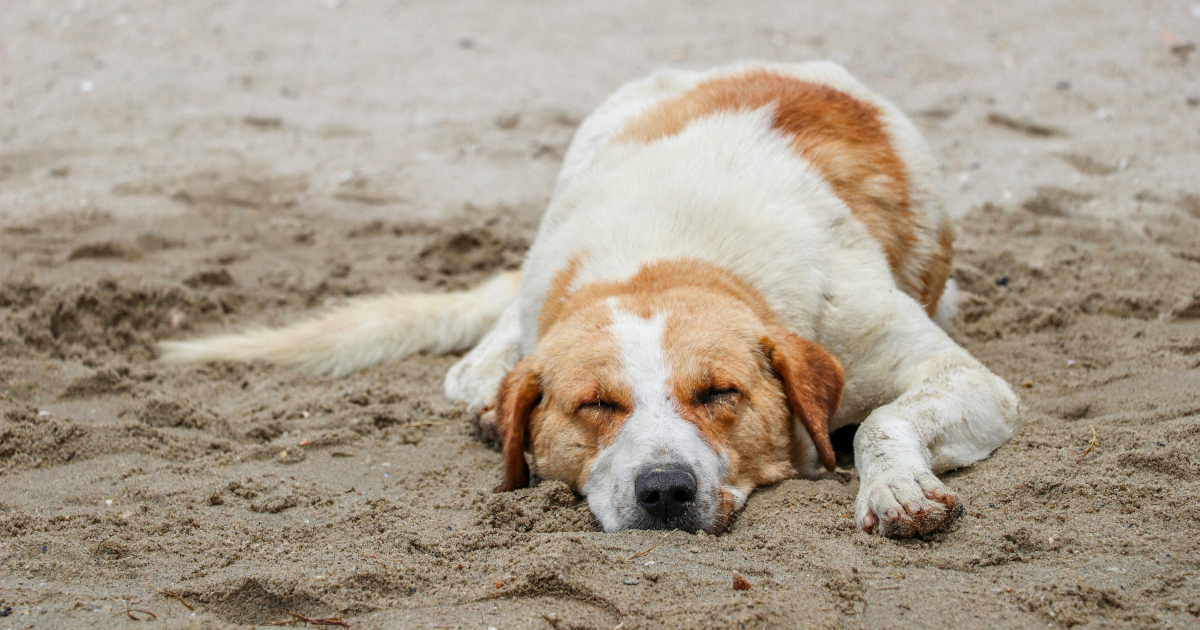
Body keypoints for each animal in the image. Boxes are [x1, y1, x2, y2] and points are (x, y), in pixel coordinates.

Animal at [161, 62, 1021, 538]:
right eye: (596, 406)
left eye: (720, 394)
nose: (665, 491)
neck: (671, 255)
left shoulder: (964, 380)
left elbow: (882, 419)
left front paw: (897, 487)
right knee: (493, 336)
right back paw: (485, 381)